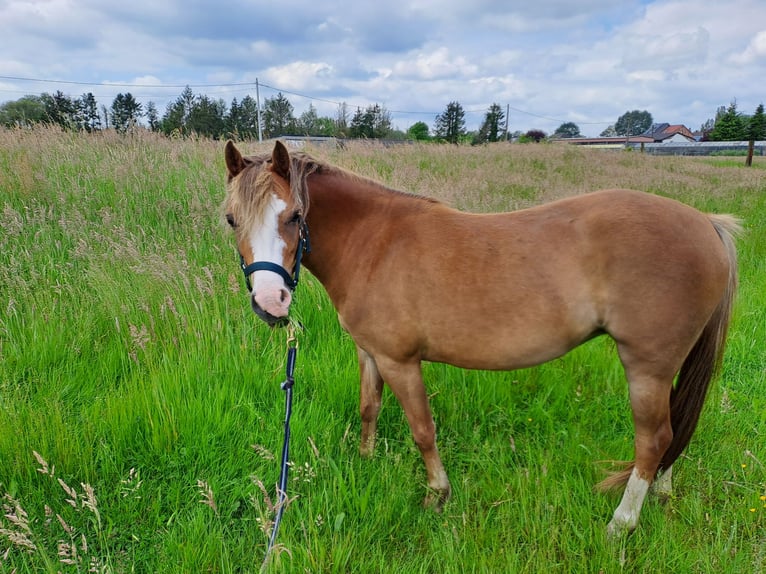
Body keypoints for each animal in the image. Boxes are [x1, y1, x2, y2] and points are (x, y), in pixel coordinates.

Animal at [225, 142, 740, 536]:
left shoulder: (399, 360)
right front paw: (366, 463)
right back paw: (661, 494)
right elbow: (369, 408)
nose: (270, 302)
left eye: (295, 216)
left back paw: (622, 523)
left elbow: (423, 429)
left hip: (647, 367)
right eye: (231, 219)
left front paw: (437, 495)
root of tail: (707, 224)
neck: (373, 242)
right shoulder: (369, 352)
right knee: (675, 431)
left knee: (654, 439)